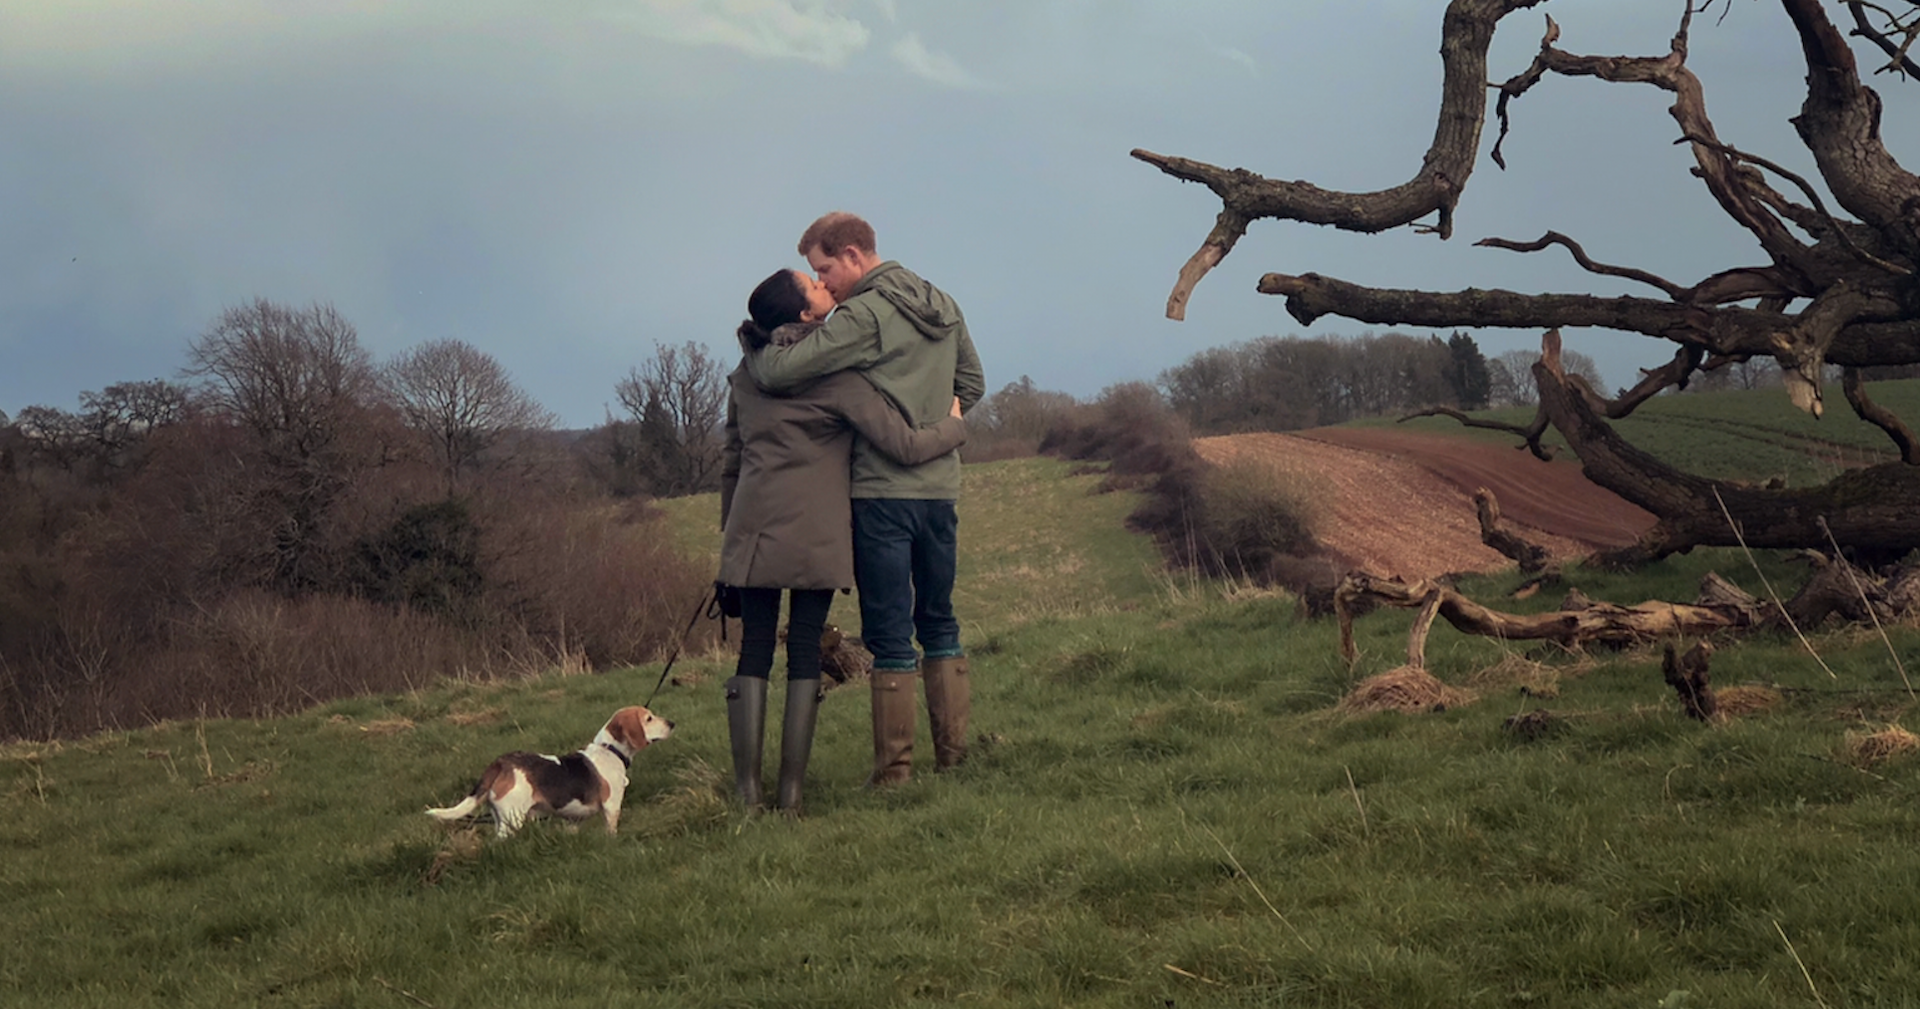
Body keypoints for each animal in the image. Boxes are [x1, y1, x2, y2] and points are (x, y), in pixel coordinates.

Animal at [426, 709, 675, 844]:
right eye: (648, 718)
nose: (672, 723)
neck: (610, 750)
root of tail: (501, 763)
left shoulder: (573, 819)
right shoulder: (612, 807)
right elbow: (611, 830)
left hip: (500, 817)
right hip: (512, 819)